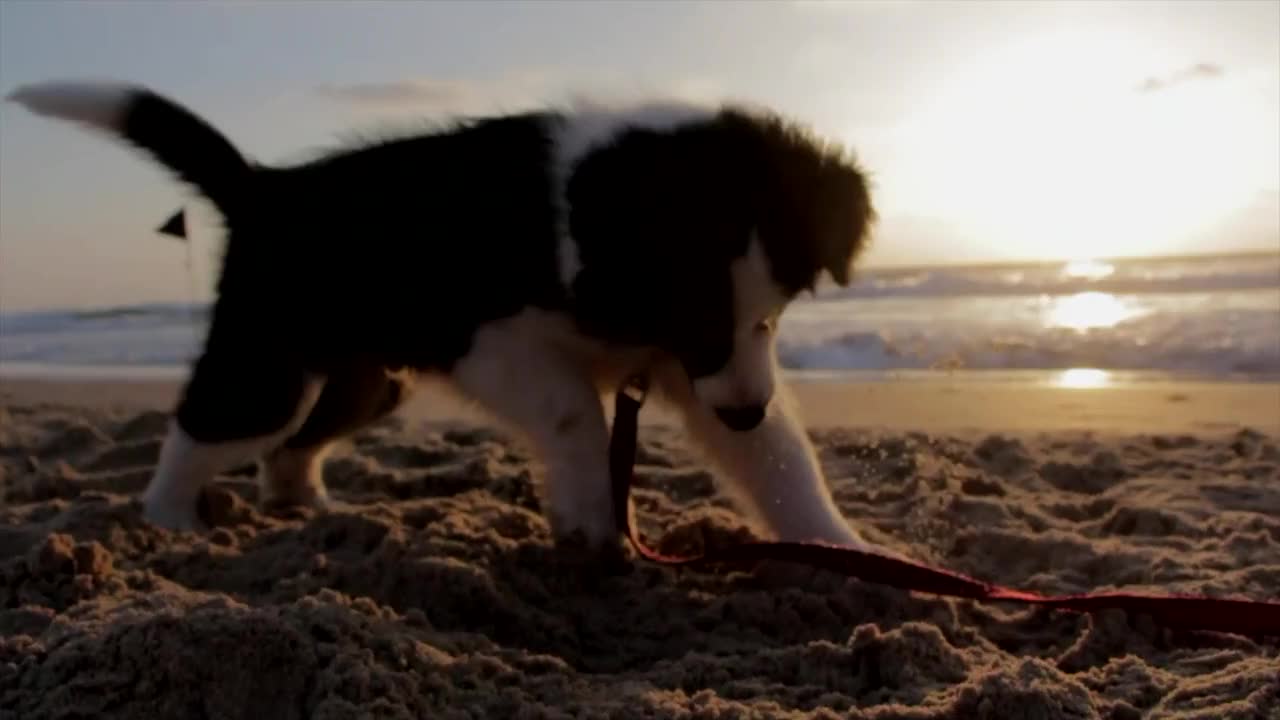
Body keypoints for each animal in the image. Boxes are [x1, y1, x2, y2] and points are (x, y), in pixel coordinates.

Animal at [5, 81, 875, 556]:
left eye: (776, 316)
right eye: (694, 314)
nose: (744, 408)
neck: (568, 221)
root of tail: (266, 187)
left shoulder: (697, 368)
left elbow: (780, 458)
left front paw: (841, 549)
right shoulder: (491, 342)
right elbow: (575, 413)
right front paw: (590, 518)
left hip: (367, 379)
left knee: (290, 446)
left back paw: (306, 507)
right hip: (268, 363)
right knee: (207, 427)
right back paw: (168, 521)